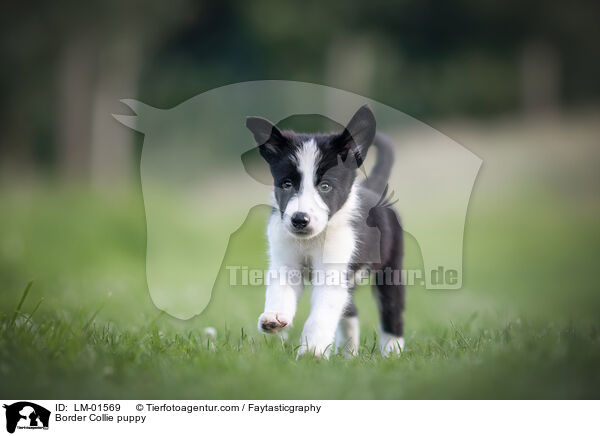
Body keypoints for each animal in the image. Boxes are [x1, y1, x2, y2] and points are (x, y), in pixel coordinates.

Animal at [246, 104, 406, 358]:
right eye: (287, 184)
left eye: (325, 186)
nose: (299, 220)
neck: (310, 241)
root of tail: (374, 191)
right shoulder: (286, 263)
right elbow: (280, 292)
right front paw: (275, 317)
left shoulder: (332, 271)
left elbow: (320, 316)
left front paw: (311, 351)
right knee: (350, 310)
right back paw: (348, 353)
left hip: (391, 269)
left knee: (392, 310)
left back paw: (392, 352)